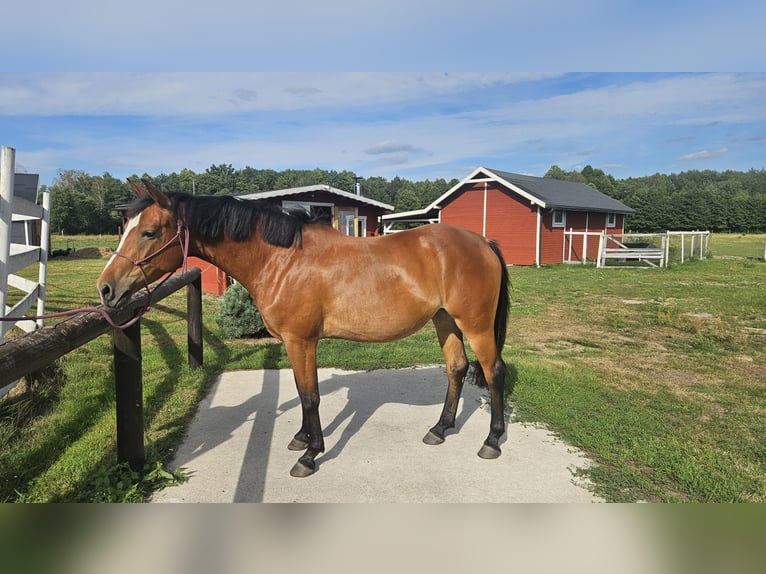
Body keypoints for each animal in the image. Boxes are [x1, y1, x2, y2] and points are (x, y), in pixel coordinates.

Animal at [97, 179, 510, 478]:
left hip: (475, 326)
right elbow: (299, 391)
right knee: (456, 369)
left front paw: (310, 456)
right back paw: (440, 429)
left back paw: (492, 441)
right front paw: (300, 439)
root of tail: (483, 242)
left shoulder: (302, 341)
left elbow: (310, 395)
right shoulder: (293, 343)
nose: (106, 289)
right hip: (445, 321)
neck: (282, 259)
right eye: (126, 227)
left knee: (493, 372)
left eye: (150, 232)